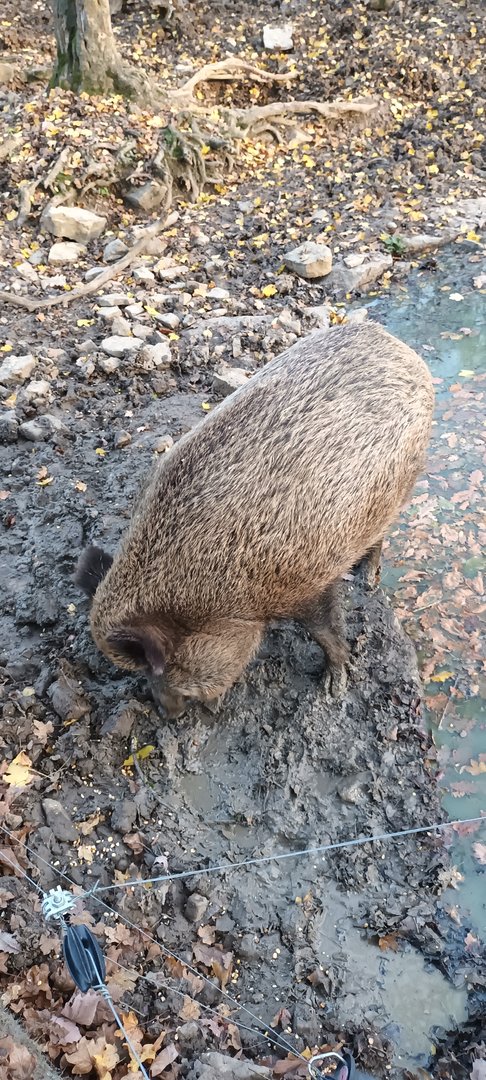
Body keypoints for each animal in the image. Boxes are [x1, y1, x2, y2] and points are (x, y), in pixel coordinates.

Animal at [75, 321, 434, 716]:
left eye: (165, 664)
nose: (165, 713)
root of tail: (397, 345)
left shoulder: (307, 583)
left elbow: (326, 633)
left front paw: (332, 690)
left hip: (406, 478)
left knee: (381, 535)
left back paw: (366, 581)